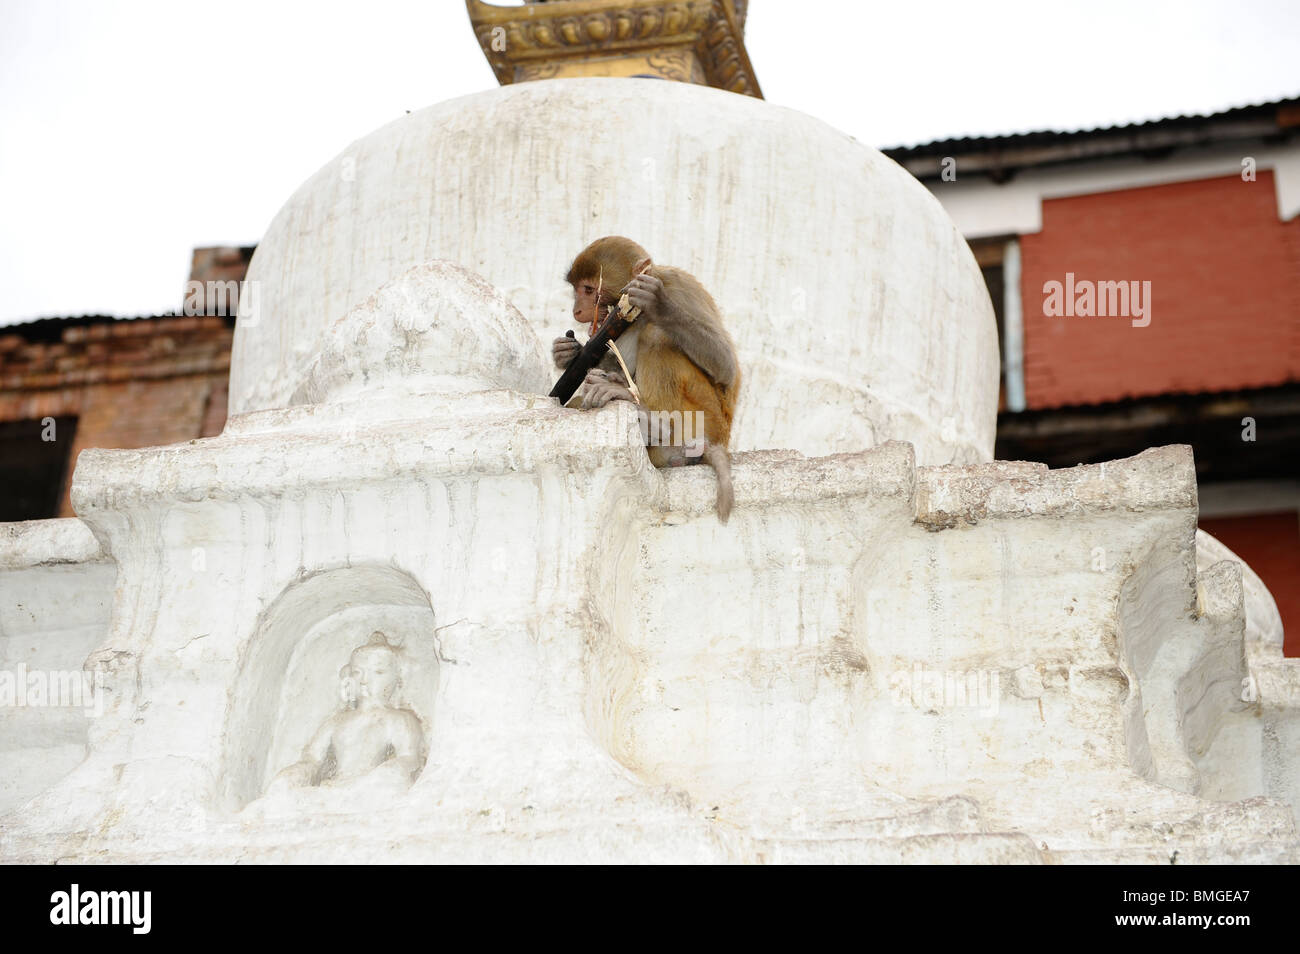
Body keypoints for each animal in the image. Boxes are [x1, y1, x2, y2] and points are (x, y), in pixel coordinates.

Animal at [554, 236, 740, 523]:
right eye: (577, 289)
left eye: (589, 289)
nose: (577, 310)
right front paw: (567, 353)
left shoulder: (676, 286)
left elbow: (726, 366)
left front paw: (659, 304)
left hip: (708, 417)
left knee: (657, 334)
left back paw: (656, 423)